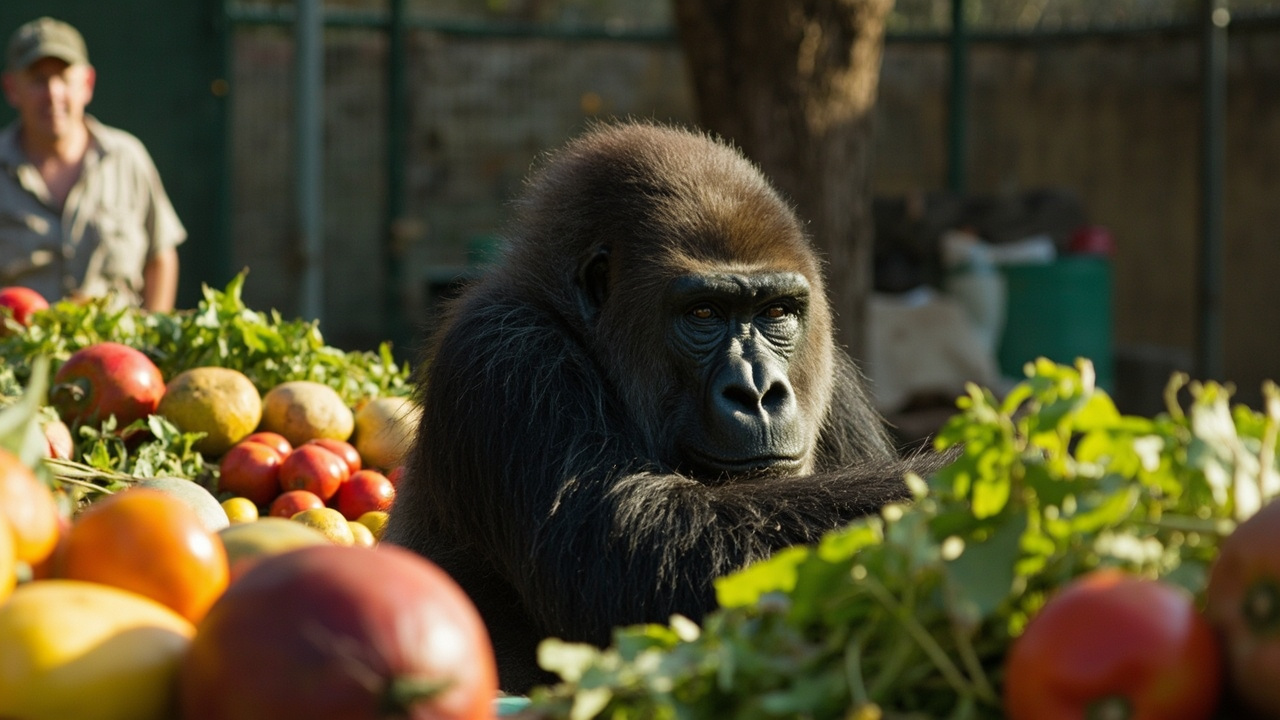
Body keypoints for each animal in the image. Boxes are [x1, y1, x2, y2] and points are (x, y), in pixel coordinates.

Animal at [384, 121, 953, 693]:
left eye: (776, 312)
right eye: (704, 313)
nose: (757, 392)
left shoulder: (834, 379)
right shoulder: (504, 355)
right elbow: (641, 552)